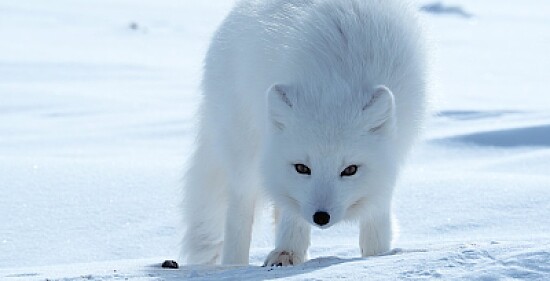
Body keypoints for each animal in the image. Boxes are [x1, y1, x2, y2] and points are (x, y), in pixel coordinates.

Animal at [181, 0, 426, 264]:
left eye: (350, 170)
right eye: (302, 167)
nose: (321, 217)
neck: (335, 82)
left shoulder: (396, 147)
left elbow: (377, 206)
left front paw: (377, 255)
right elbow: (291, 211)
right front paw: (287, 251)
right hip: (244, 151)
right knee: (242, 206)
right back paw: (236, 265)